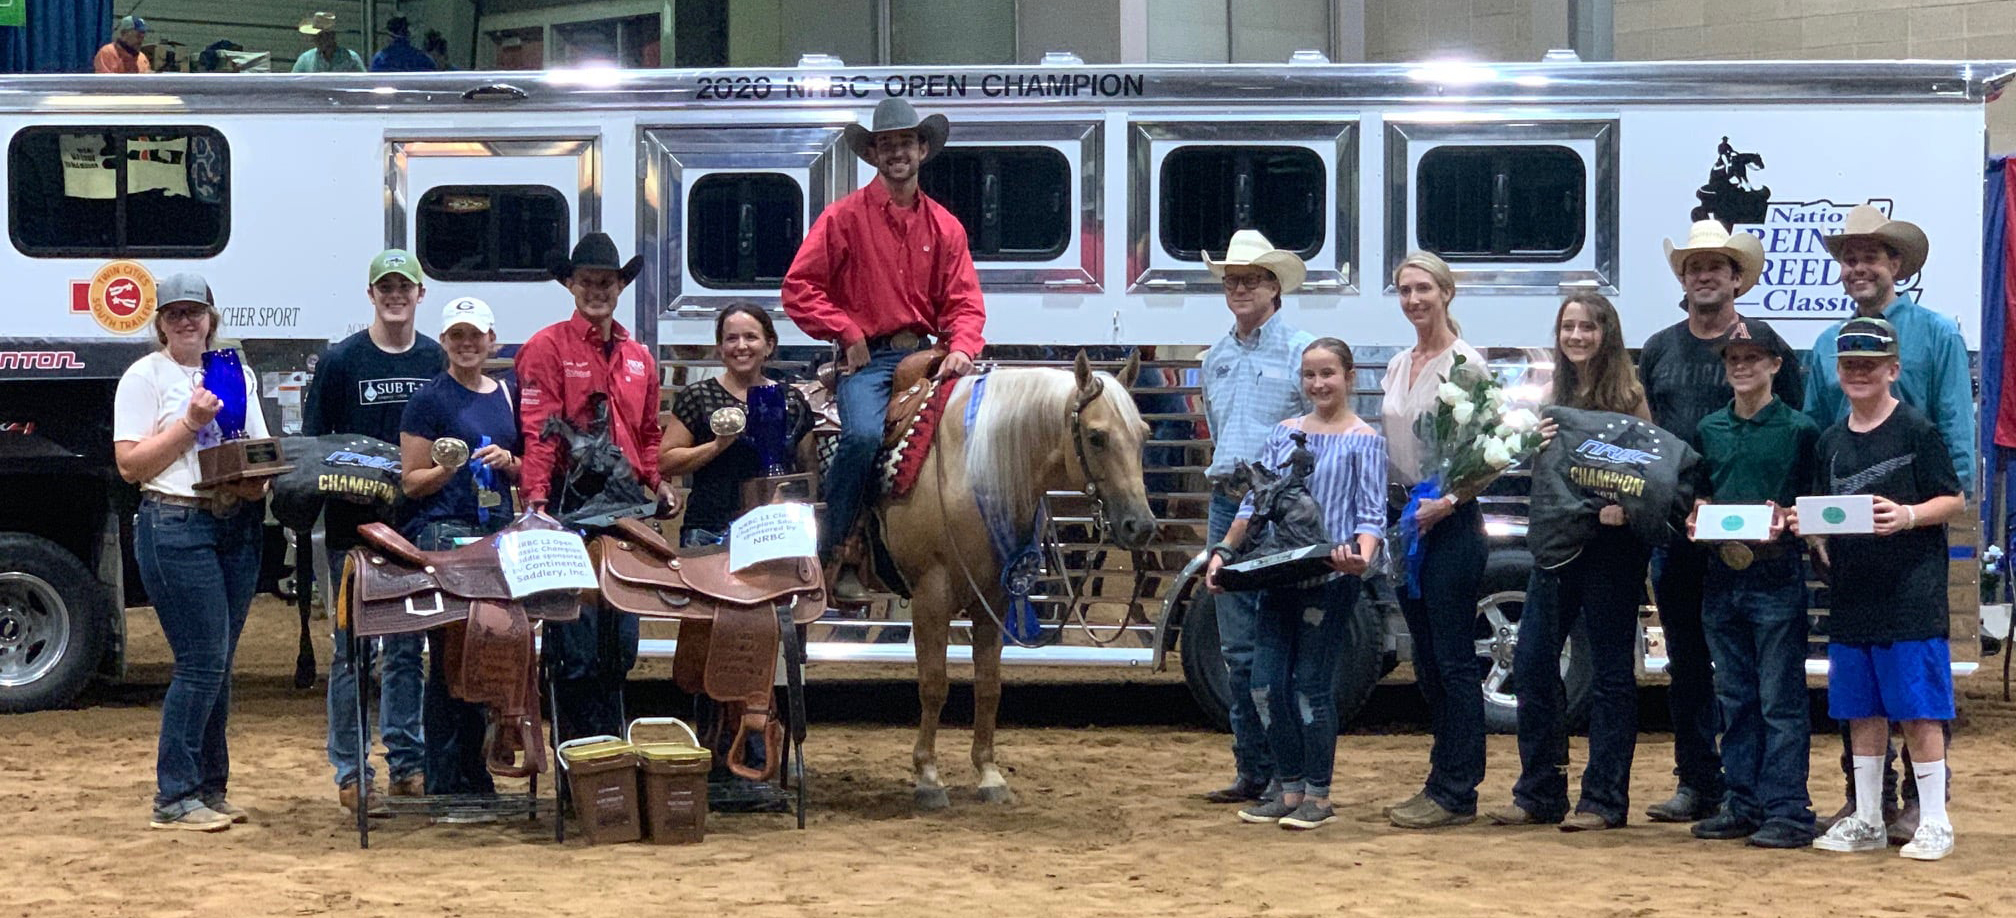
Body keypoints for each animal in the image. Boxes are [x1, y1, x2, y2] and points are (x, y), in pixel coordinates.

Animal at [879, 351, 1156, 809]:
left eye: (1144, 435)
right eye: (1096, 437)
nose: (1141, 526)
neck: (967, 468)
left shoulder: (994, 596)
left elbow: (989, 685)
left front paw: (989, 774)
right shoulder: (931, 595)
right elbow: (934, 684)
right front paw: (929, 777)